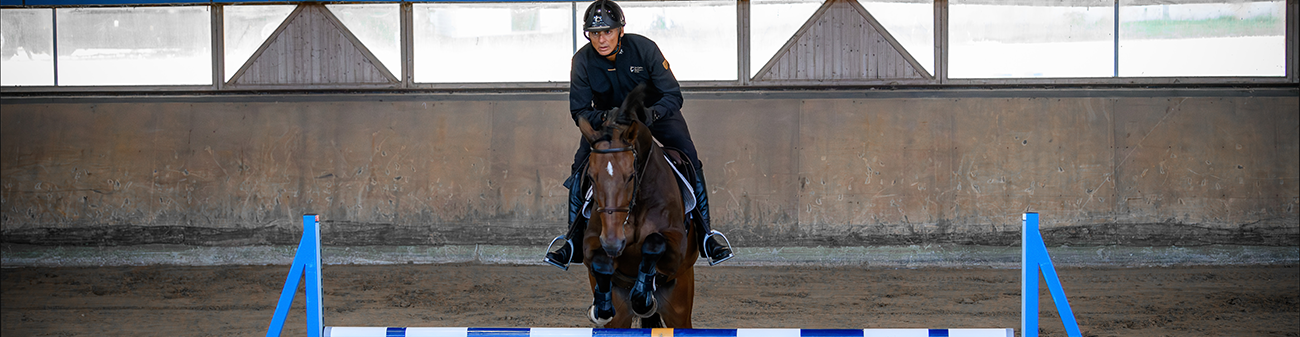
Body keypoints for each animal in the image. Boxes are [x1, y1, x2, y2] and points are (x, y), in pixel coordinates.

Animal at [577, 83, 702, 329]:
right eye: (591, 177)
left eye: (631, 176)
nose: (613, 243)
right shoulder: (592, 243)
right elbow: (600, 261)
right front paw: (601, 307)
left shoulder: (676, 251)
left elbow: (654, 243)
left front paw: (643, 297)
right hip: (621, 318)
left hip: (680, 304)